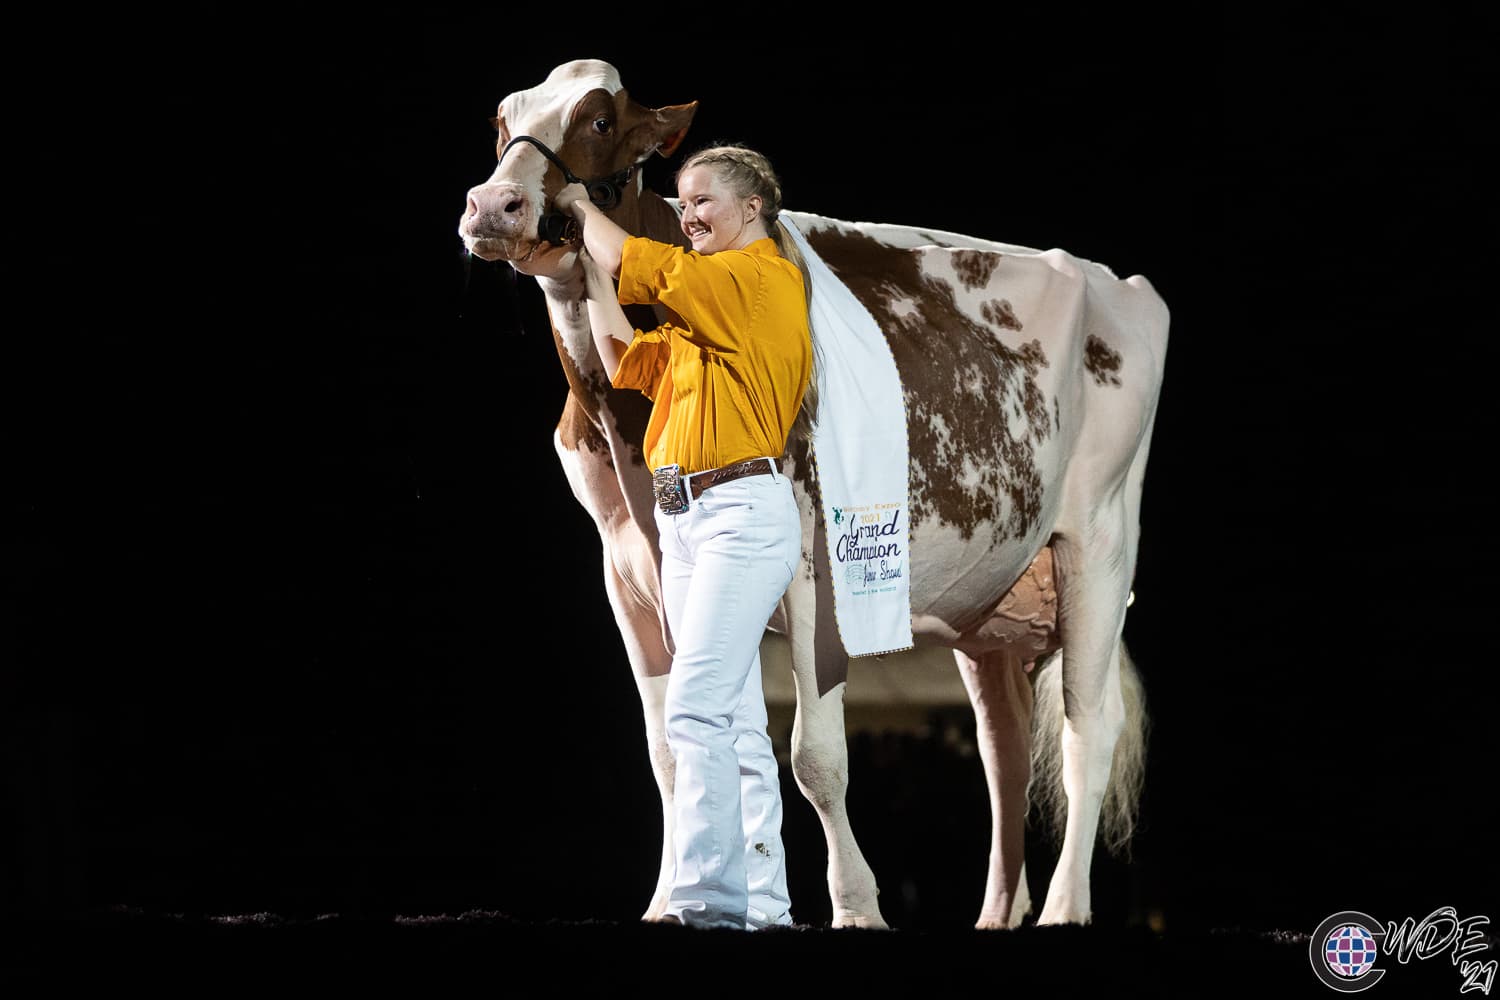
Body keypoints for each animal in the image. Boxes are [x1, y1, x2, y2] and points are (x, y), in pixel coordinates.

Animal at [457, 59, 1165, 929]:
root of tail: (1116, 280)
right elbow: (668, 750)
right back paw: (998, 912)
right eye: (502, 122)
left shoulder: (810, 566)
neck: (624, 430)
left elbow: (816, 757)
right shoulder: (625, 573)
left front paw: (856, 905)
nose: (493, 205)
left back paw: (1066, 907)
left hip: (1100, 540)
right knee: (1003, 745)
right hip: (991, 597)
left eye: (597, 120)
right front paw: (669, 899)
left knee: (1086, 729)